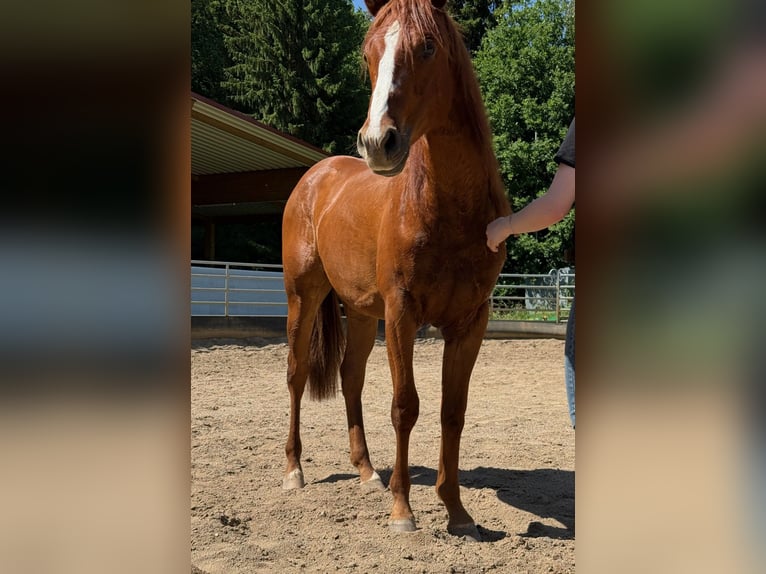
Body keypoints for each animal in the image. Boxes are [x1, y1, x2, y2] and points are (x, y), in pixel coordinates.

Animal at [281, 0, 510, 541]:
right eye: (368, 53)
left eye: (427, 46)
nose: (376, 142)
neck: (447, 209)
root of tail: (315, 177)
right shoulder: (403, 314)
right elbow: (406, 406)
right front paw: (403, 510)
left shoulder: (471, 322)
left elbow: (453, 411)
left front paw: (457, 511)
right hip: (303, 297)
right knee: (297, 374)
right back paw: (294, 470)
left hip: (363, 313)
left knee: (350, 377)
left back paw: (367, 471)